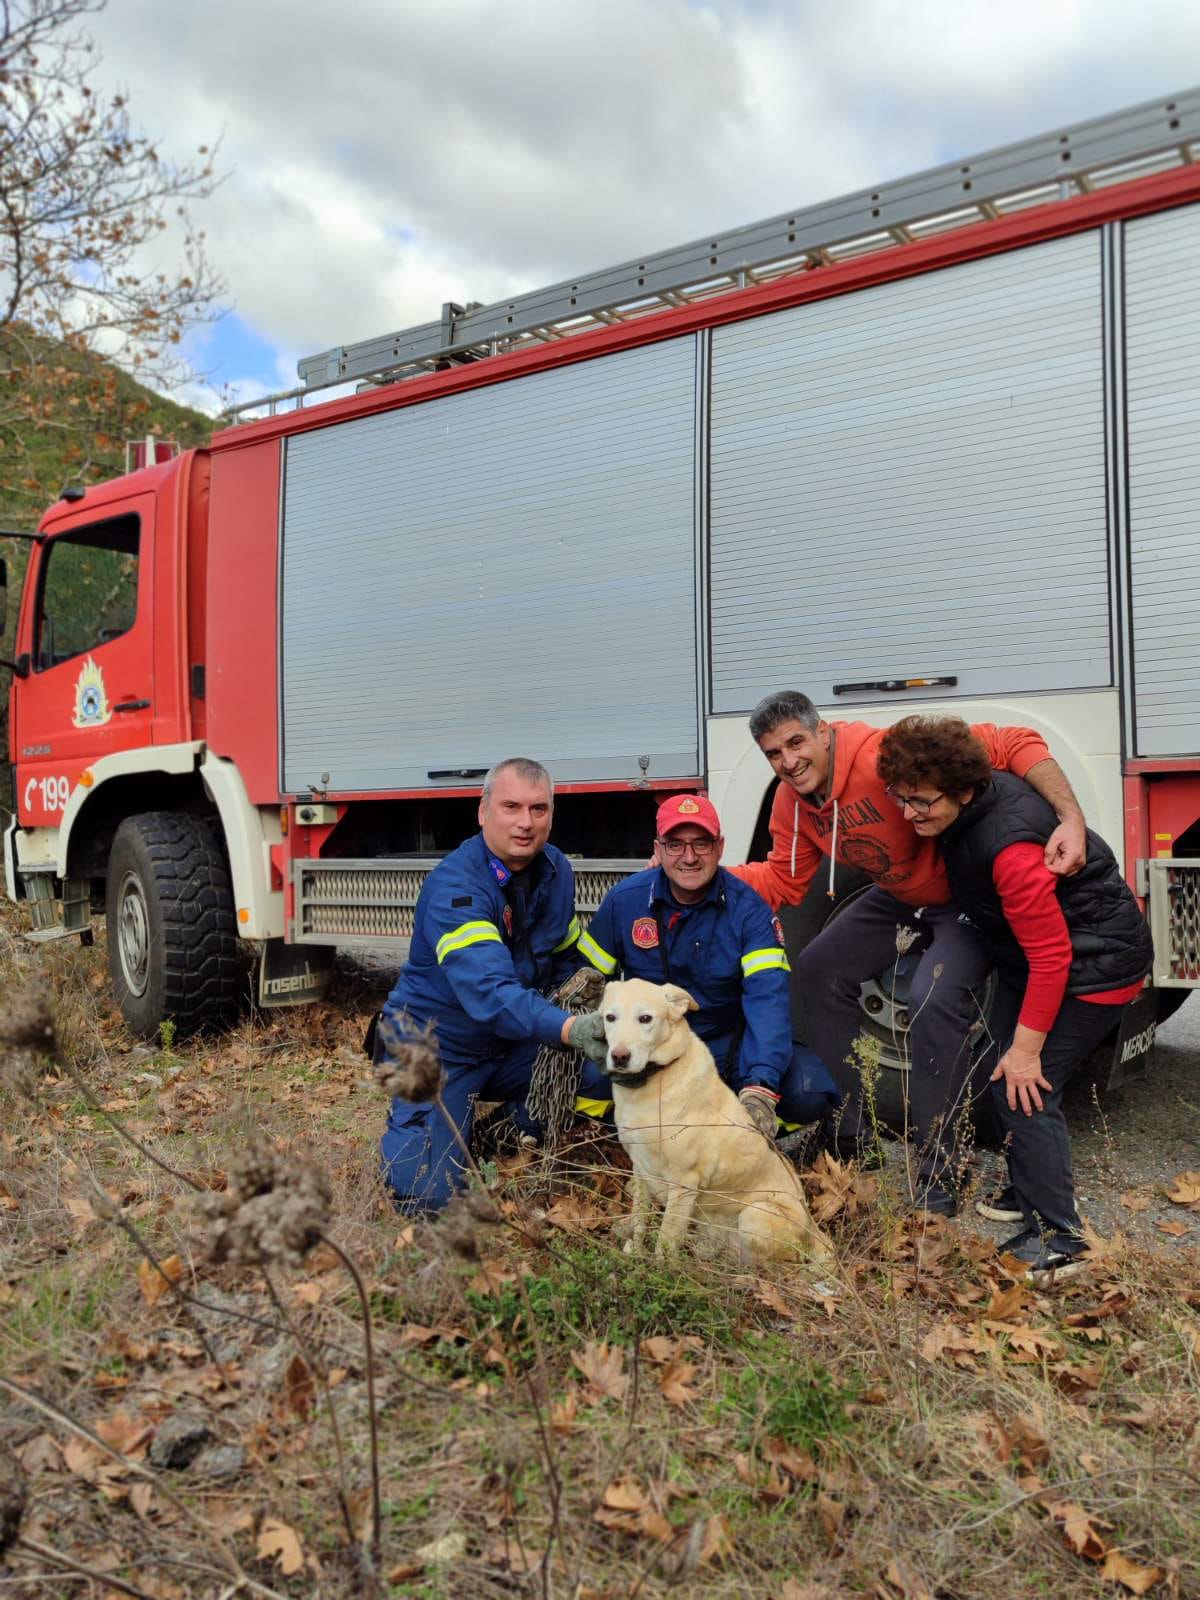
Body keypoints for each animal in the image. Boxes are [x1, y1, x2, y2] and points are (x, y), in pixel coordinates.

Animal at [598, 972, 832, 1260]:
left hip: (755, 1216)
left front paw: (658, 1268)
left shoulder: (684, 1183)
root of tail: (814, 1230)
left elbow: (666, 1240)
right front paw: (636, 1254)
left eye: (645, 1018)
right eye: (610, 1017)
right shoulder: (640, 1167)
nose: (619, 1056)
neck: (656, 1080)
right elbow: (639, 1218)